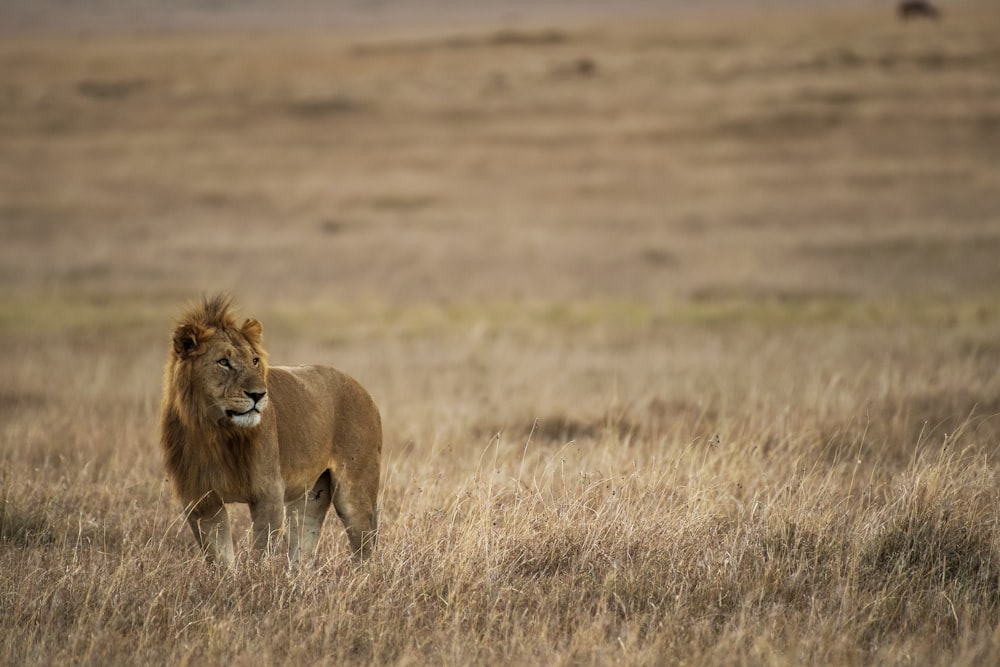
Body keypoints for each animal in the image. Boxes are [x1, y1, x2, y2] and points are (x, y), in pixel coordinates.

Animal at [160, 294, 382, 568]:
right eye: (223, 362)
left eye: (255, 360)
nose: (258, 394)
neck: (216, 431)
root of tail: (361, 388)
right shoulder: (201, 499)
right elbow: (219, 558)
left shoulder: (268, 493)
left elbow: (260, 552)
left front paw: (256, 578)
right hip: (311, 497)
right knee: (303, 547)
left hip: (355, 491)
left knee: (365, 546)